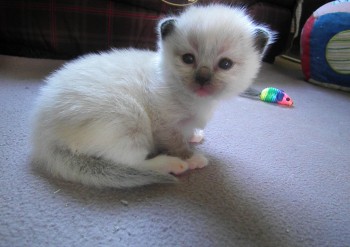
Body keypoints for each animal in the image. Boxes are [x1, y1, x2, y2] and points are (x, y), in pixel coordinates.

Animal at [30, 3, 274, 187]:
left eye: (225, 64)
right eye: (188, 59)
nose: (203, 78)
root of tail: (43, 135)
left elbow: (187, 131)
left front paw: (194, 135)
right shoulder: (163, 123)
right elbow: (176, 143)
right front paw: (191, 156)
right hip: (129, 118)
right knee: (132, 162)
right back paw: (173, 165)